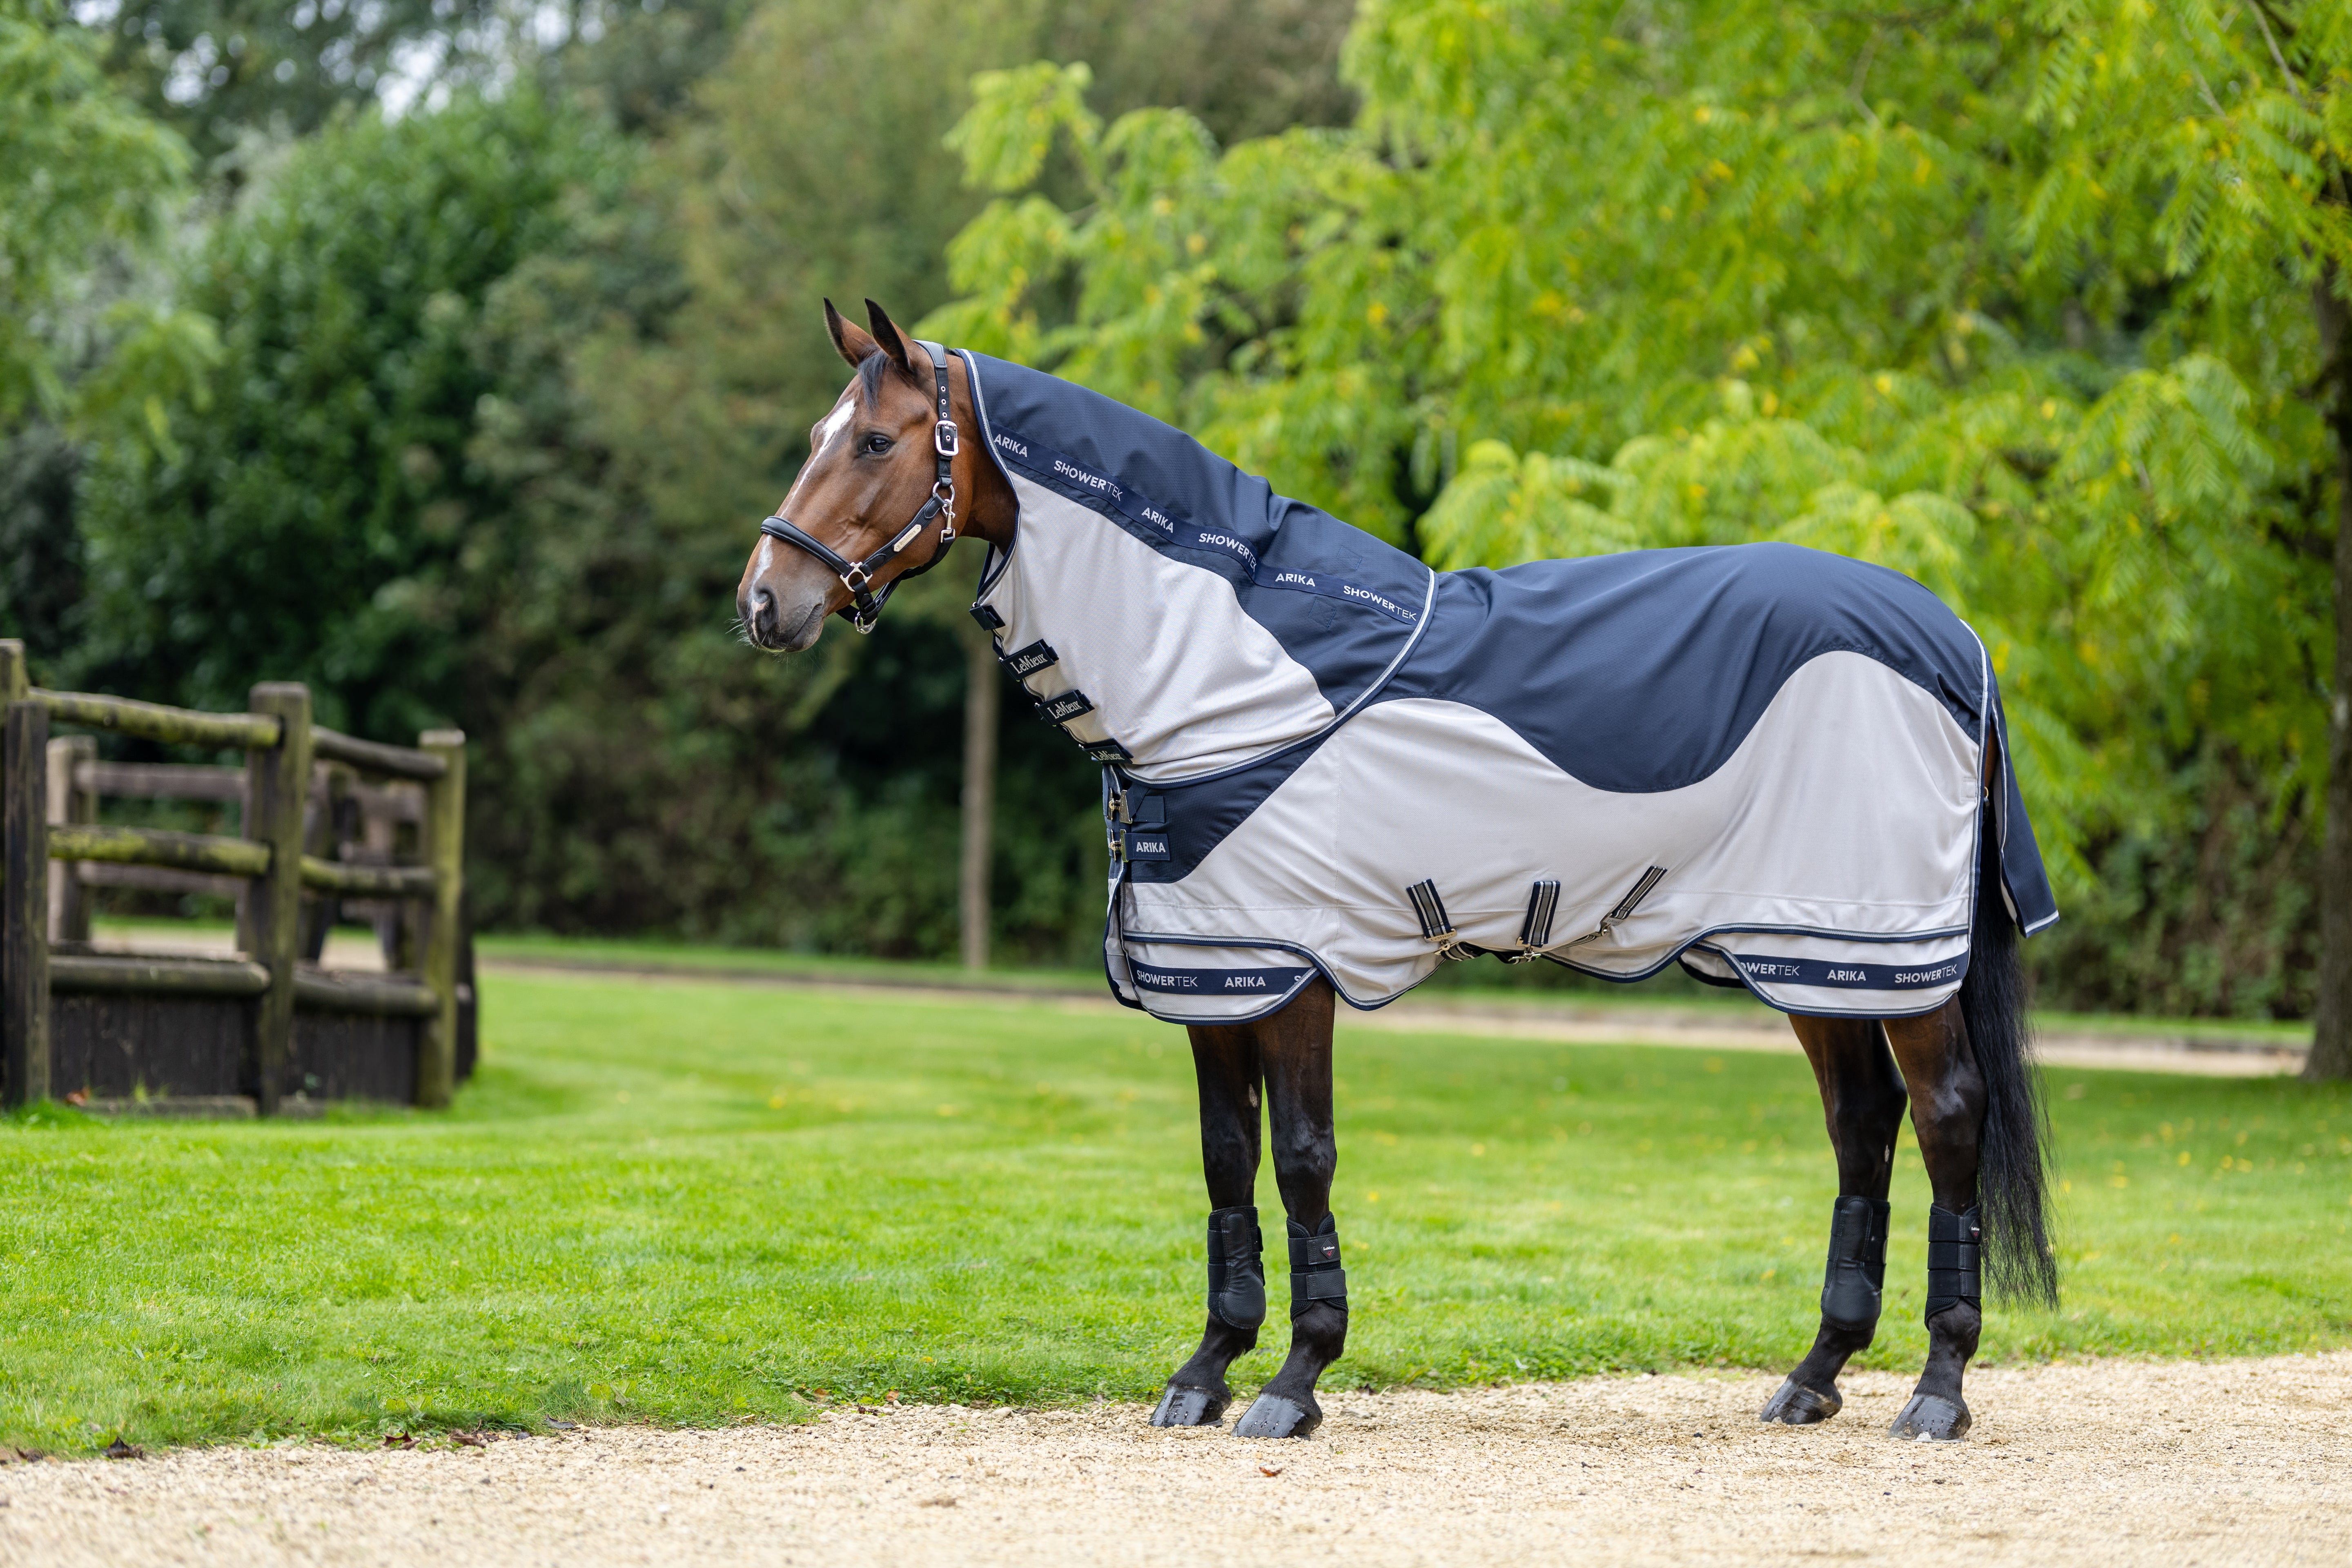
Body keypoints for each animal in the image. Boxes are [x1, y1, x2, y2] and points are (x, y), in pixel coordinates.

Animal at [739, 298, 2059, 1443]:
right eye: (815, 438)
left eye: (872, 440)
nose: (765, 602)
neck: (1247, 678)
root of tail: (1956, 638)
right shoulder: (1215, 973)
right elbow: (1226, 1162)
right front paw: (1206, 1370)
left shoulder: (1293, 968)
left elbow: (1301, 1159)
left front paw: (1295, 1378)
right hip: (1811, 959)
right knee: (1861, 1126)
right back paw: (1815, 1374)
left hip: (1884, 953)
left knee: (1945, 1118)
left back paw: (1937, 1388)